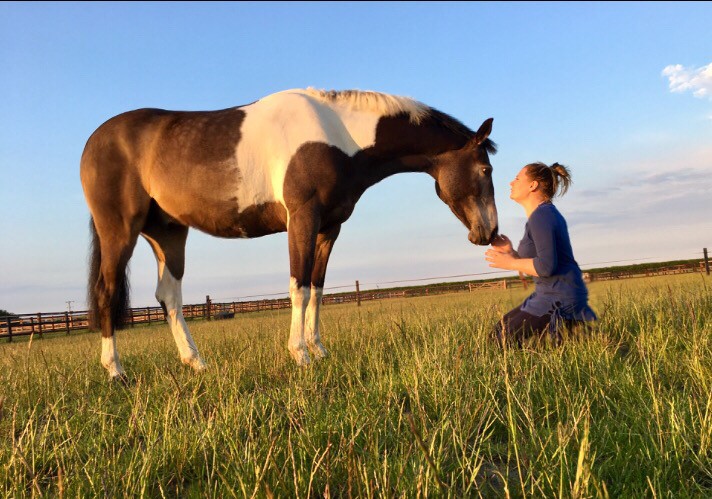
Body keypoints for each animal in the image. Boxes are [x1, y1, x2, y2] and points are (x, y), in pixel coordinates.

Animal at [80, 88, 498, 380]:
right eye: (485, 170)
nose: (489, 232)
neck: (337, 135)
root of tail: (94, 141)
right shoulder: (302, 219)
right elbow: (299, 286)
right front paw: (300, 354)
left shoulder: (329, 228)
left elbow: (317, 288)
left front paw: (319, 350)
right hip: (119, 230)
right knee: (107, 292)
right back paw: (116, 371)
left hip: (167, 233)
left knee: (169, 296)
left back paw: (196, 363)